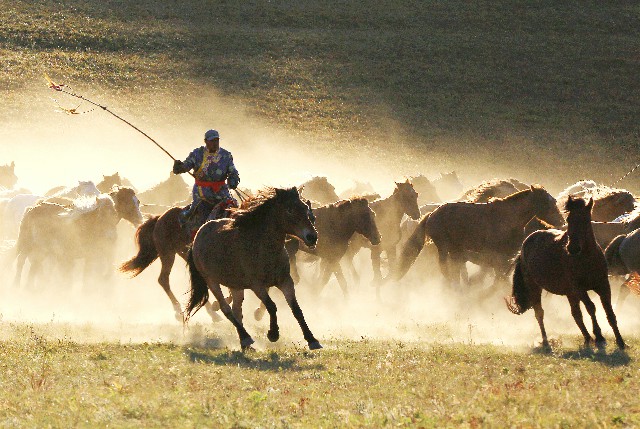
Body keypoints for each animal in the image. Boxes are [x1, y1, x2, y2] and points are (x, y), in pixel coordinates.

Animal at [185, 186, 322, 350]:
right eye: (289, 210)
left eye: (304, 207)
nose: (312, 237)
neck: (263, 247)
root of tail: (197, 237)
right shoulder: (257, 286)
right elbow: (271, 306)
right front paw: (273, 334)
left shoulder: (285, 281)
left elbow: (296, 309)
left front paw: (312, 339)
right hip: (211, 281)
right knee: (227, 309)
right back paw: (246, 338)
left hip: (236, 285)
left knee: (237, 310)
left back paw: (244, 342)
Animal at [504, 196, 624, 350]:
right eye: (569, 219)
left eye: (585, 220)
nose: (572, 248)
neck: (586, 258)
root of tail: (525, 244)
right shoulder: (579, 289)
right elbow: (591, 307)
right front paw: (599, 337)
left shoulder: (603, 285)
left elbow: (609, 311)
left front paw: (620, 341)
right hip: (535, 287)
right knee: (539, 313)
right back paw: (546, 342)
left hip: (570, 293)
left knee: (576, 314)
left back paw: (587, 339)